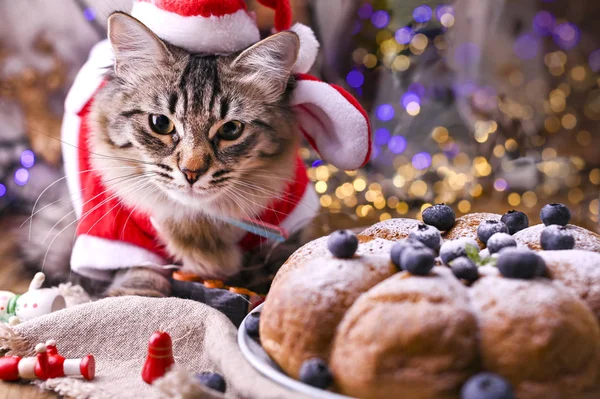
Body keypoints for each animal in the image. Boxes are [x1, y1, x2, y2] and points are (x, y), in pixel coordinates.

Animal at [75, 12, 312, 298]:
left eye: (231, 129)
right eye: (160, 123)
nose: (191, 172)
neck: (197, 221)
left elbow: (285, 264)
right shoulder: (117, 232)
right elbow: (140, 273)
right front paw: (136, 296)